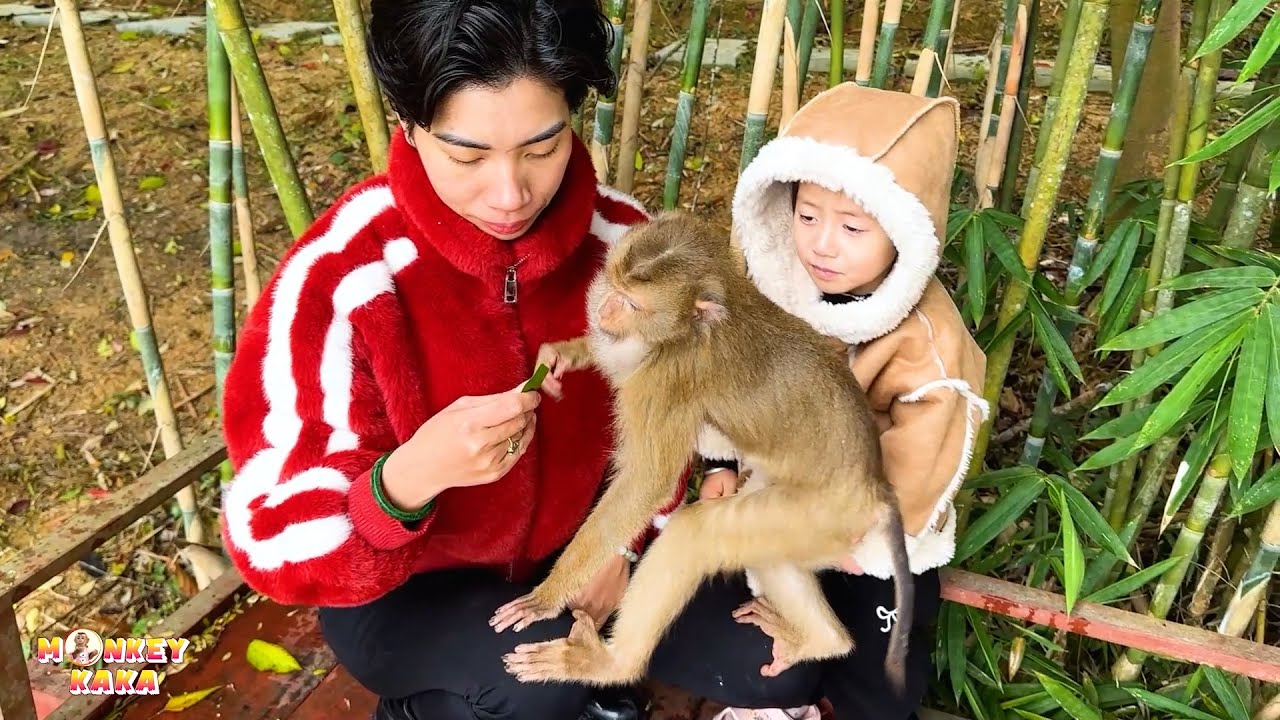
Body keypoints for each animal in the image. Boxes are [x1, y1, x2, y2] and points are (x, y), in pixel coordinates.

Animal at [488, 211, 914, 696]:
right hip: (818, 526)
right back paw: (823, 640)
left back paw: (611, 665)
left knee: (696, 534)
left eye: (632, 304)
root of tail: (876, 487)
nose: (605, 309)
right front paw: (566, 355)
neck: (687, 328)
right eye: (614, 286)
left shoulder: (665, 381)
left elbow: (646, 484)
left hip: (825, 511)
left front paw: (546, 596)